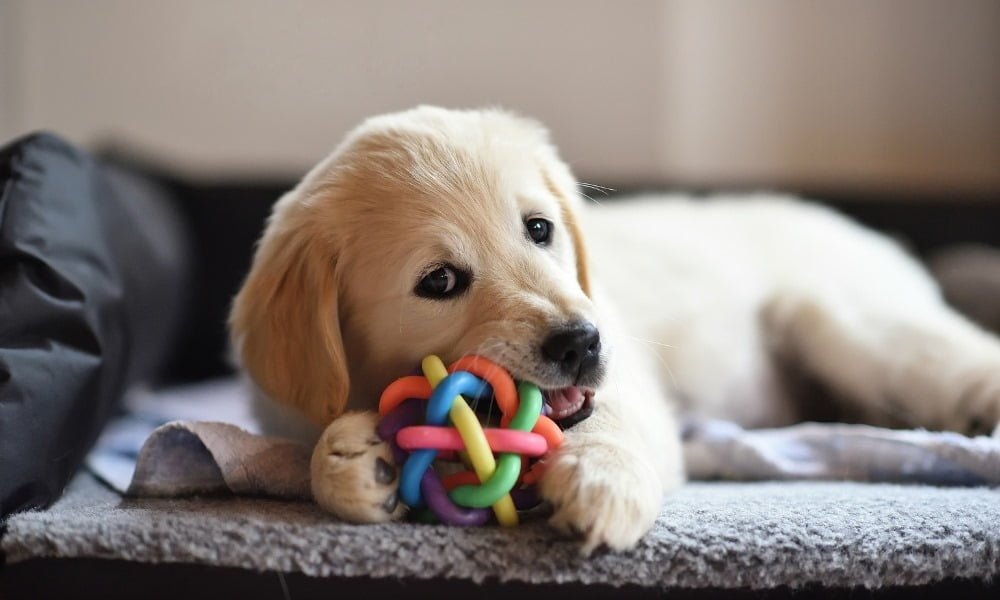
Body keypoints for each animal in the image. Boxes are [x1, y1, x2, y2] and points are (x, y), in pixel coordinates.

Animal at [230, 104, 1000, 552]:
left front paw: (602, 481)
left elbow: (609, 422)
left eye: (539, 229)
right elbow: (313, 449)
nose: (581, 342)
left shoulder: (630, 382)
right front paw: (353, 460)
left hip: (844, 322)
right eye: (439, 281)